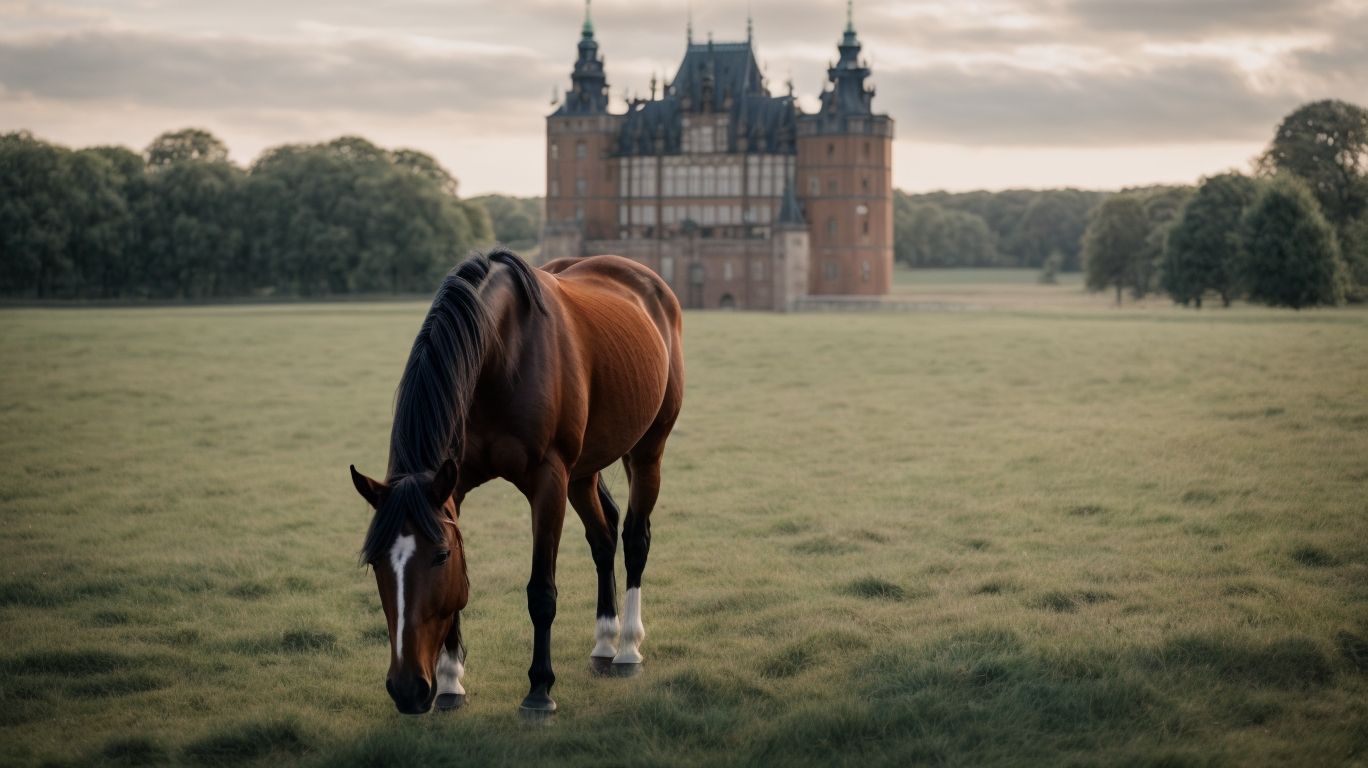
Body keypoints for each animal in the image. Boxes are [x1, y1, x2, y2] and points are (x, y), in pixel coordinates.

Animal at [349, 248, 684, 716]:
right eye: (376, 560)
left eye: (438, 556)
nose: (408, 689)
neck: (500, 350)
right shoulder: (453, 485)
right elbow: (462, 587)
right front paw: (451, 682)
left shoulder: (548, 480)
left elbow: (541, 591)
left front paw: (539, 689)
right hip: (583, 471)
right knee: (602, 538)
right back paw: (604, 642)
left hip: (647, 449)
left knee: (635, 539)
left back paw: (628, 649)